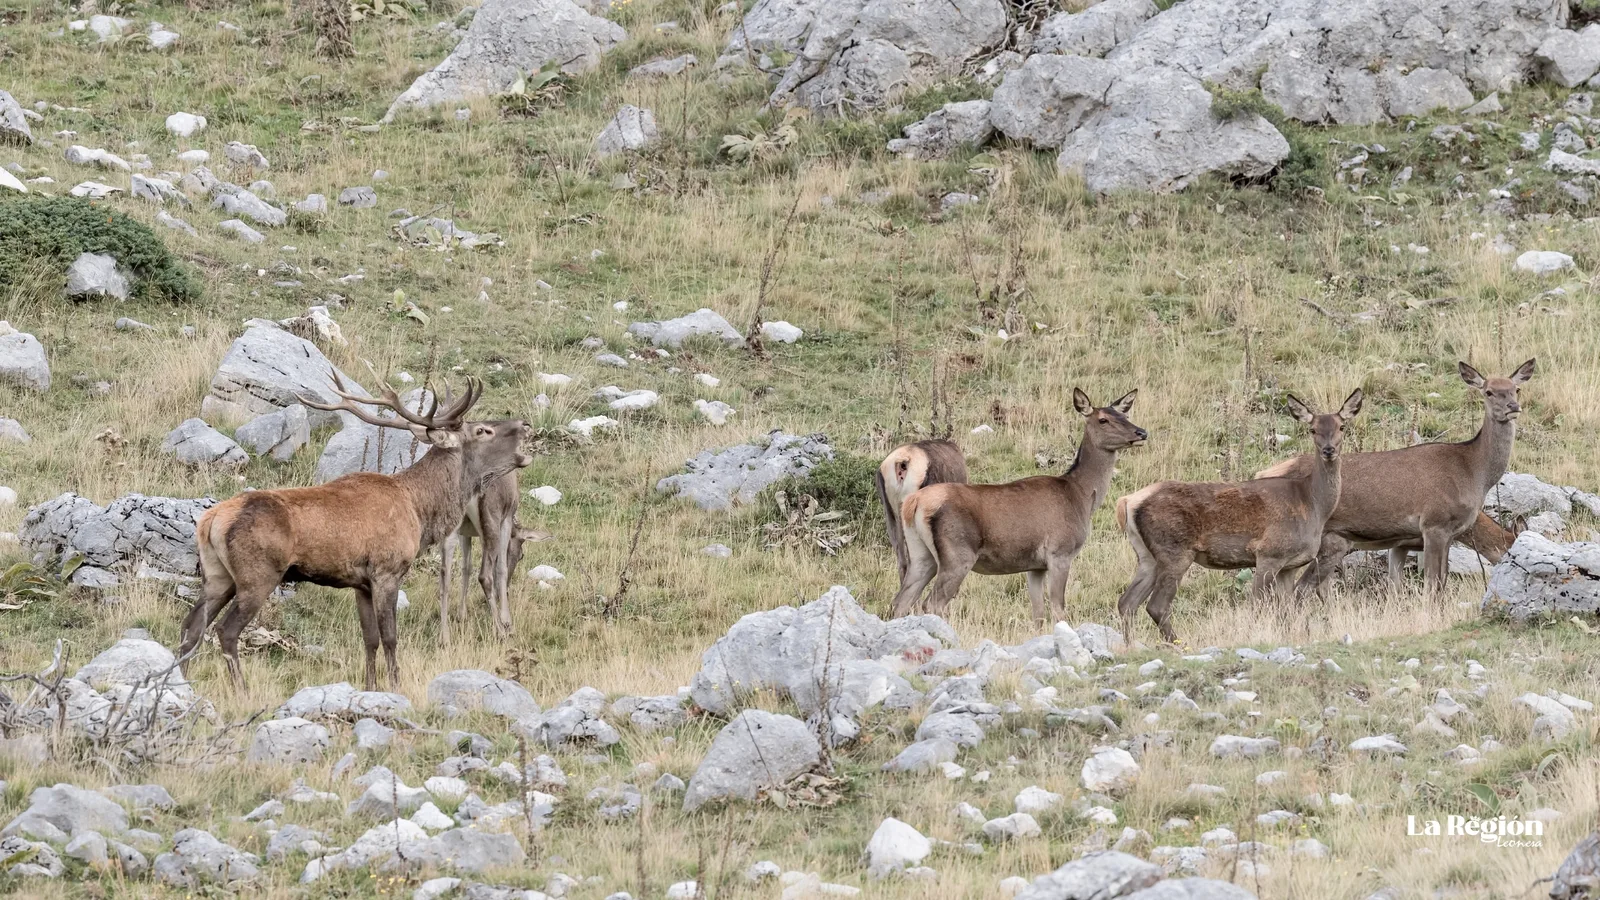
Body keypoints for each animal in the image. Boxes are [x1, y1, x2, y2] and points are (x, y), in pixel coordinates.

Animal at [176, 371, 530, 691]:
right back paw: (241, 689)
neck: (419, 510)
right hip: (257, 575)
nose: (524, 424)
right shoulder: (387, 571)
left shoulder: (361, 583)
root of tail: (210, 520)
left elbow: (369, 639)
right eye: (483, 430)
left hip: (217, 576)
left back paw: (183, 684)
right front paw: (396, 687)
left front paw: (371, 687)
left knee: (191, 625)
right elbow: (390, 638)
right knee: (225, 630)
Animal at [439, 469, 551, 642]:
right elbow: (500, 568)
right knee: (484, 576)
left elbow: (466, 567)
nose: (503, 593)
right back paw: (501, 630)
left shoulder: (465, 531)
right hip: (491, 521)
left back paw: (444, 637)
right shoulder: (505, 519)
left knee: (445, 576)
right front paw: (506, 620)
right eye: (521, 555)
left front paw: (461, 615)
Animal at [888, 390, 1145, 625]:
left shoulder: (1036, 566)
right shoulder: (1060, 552)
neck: (1080, 496)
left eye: (1125, 414)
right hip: (958, 554)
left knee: (900, 601)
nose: (1142, 432)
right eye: (1103, 419)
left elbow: (1038, 614)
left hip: (921, 554)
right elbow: (1058, 609)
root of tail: (914, 503)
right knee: (932, 603)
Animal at [1114, 389, 1363, 644]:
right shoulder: (1269, 553)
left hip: (1146, 555)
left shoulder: (1290, 564)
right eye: (1312, 429)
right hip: (1174, 550)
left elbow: (1286, 609)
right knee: (1157, 605)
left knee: (1127, 602)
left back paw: (1131, 644)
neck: (1312, 505)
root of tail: (1127, 501)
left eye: (1342, 426)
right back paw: (1178, 644)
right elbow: (1257, 605)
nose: (1328, 450)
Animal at [1252, 360, 1534, 597]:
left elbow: (1400, 586)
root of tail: (1261, 473)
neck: (1471, 472)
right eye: (1488, 391)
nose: (1512, 407)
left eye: (1516, 389)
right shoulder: (1434, 524)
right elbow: (1433, 585)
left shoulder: (1404, 542)